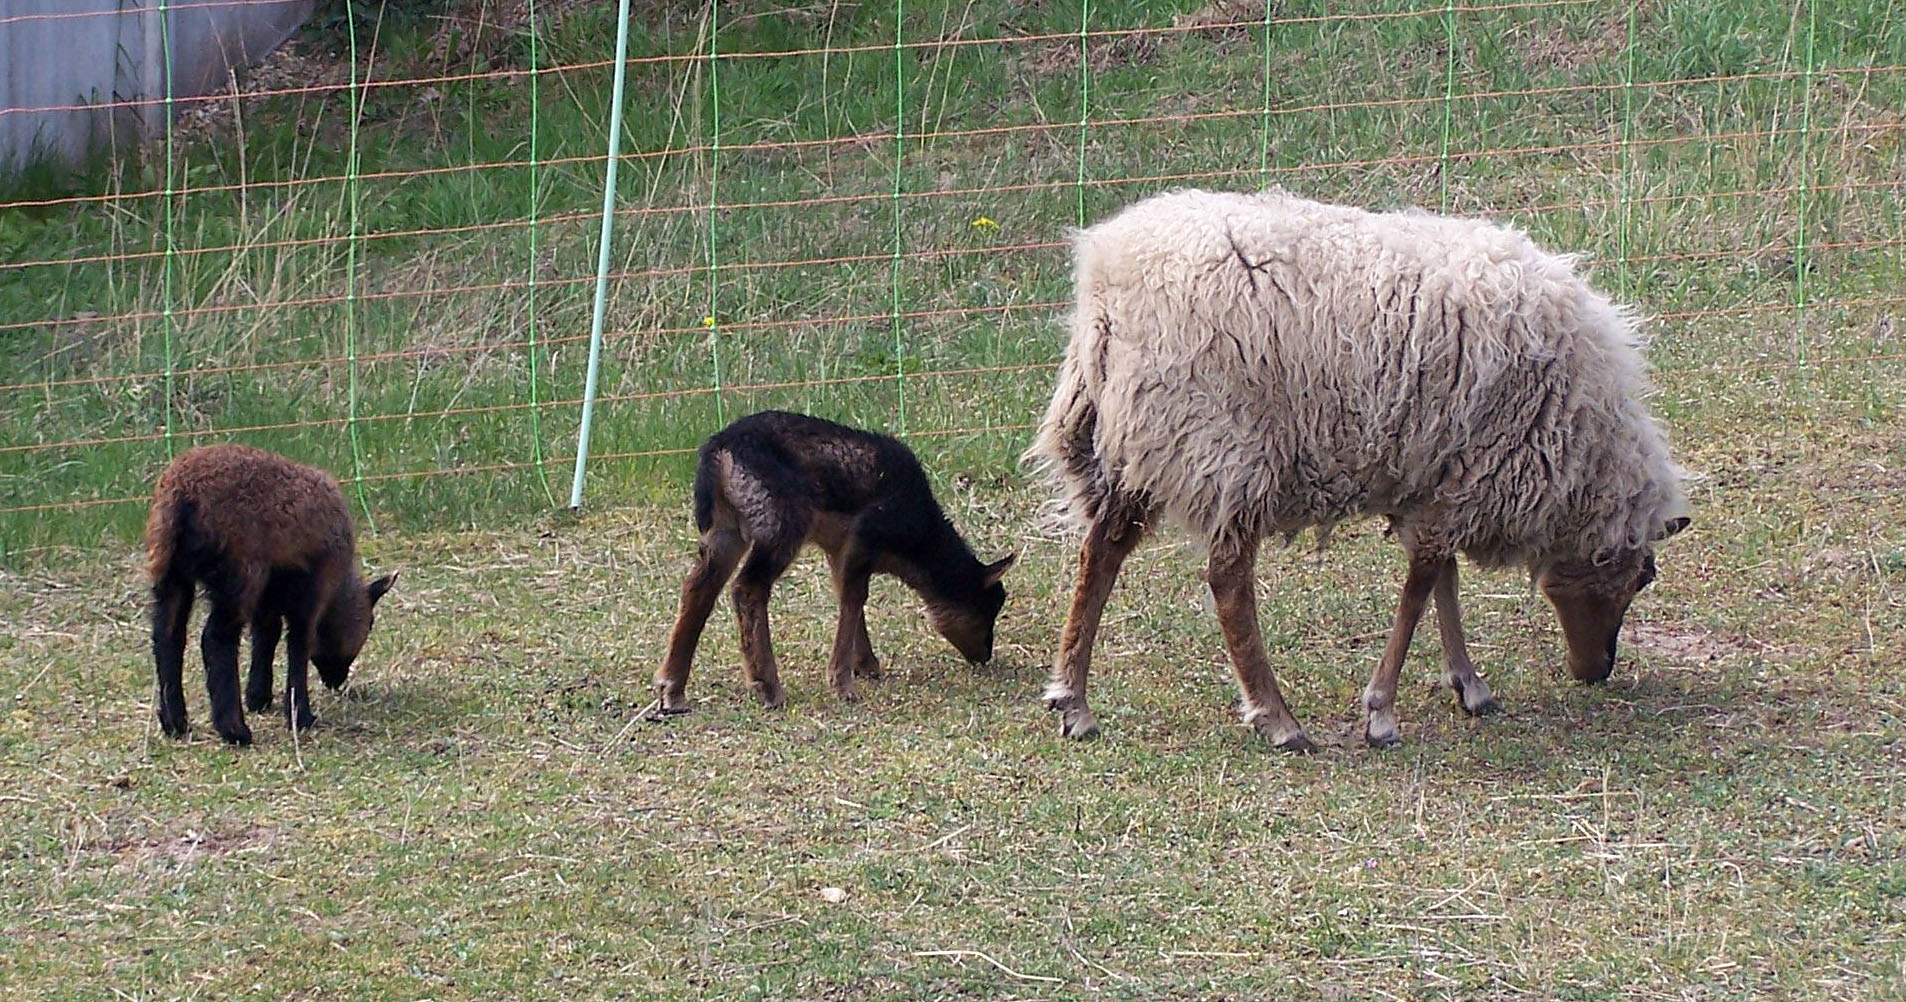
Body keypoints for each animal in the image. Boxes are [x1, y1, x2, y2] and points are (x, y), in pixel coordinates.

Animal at [143, 445, 394, 746]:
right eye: (370, 624)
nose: (336, 681)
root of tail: (181, 495)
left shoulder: (270, 593)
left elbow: (266, 634)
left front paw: (258, 697)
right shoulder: (313, 586)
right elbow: (299, 643)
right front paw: (300, 714)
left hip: (170, 569)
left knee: (167, 635)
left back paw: (175, 723)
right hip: (239, 571)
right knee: (216, 638)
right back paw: (234, 729)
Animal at [1021, 190, 1692, 754]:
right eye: (1641, 578)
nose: (1597, 673)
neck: (1576, 436)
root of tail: (1106, 277)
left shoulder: (1436, 473)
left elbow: (1441, 580)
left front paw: (1467, 683)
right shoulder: (1466, 475)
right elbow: (1420, 587)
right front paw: (1382, 713)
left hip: (1136, 441)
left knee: (1101, 553)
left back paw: (1073, 700)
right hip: (1222, 444)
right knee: (1227, 582)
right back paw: (1276, 717)